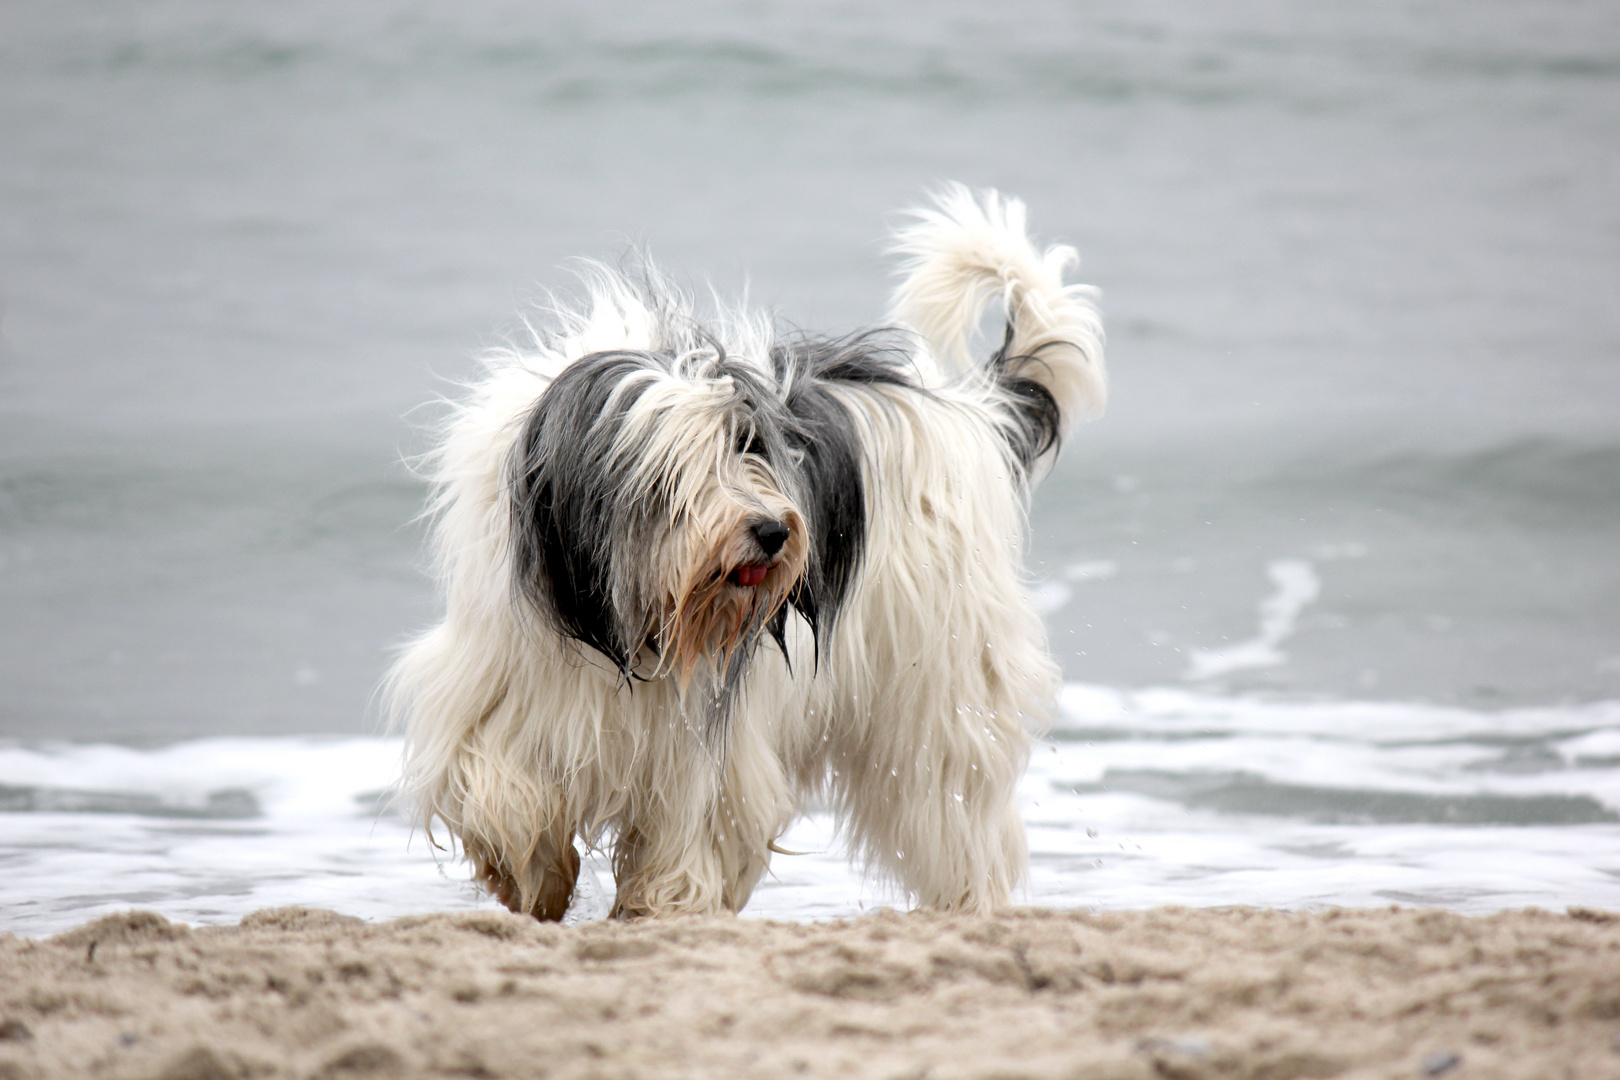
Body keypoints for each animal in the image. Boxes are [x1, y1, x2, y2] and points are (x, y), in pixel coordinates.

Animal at [385, 186, 1108, 919]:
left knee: (955, 808)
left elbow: (694, 826)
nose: (772, 531)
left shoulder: (705, 737)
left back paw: (969, 903)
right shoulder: (501, 679)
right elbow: (497, 785)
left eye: (750, 445)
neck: (620, 627)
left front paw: (663, 906)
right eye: (675, 473)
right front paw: (534, 873)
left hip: (939, 683)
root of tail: (977, 414)